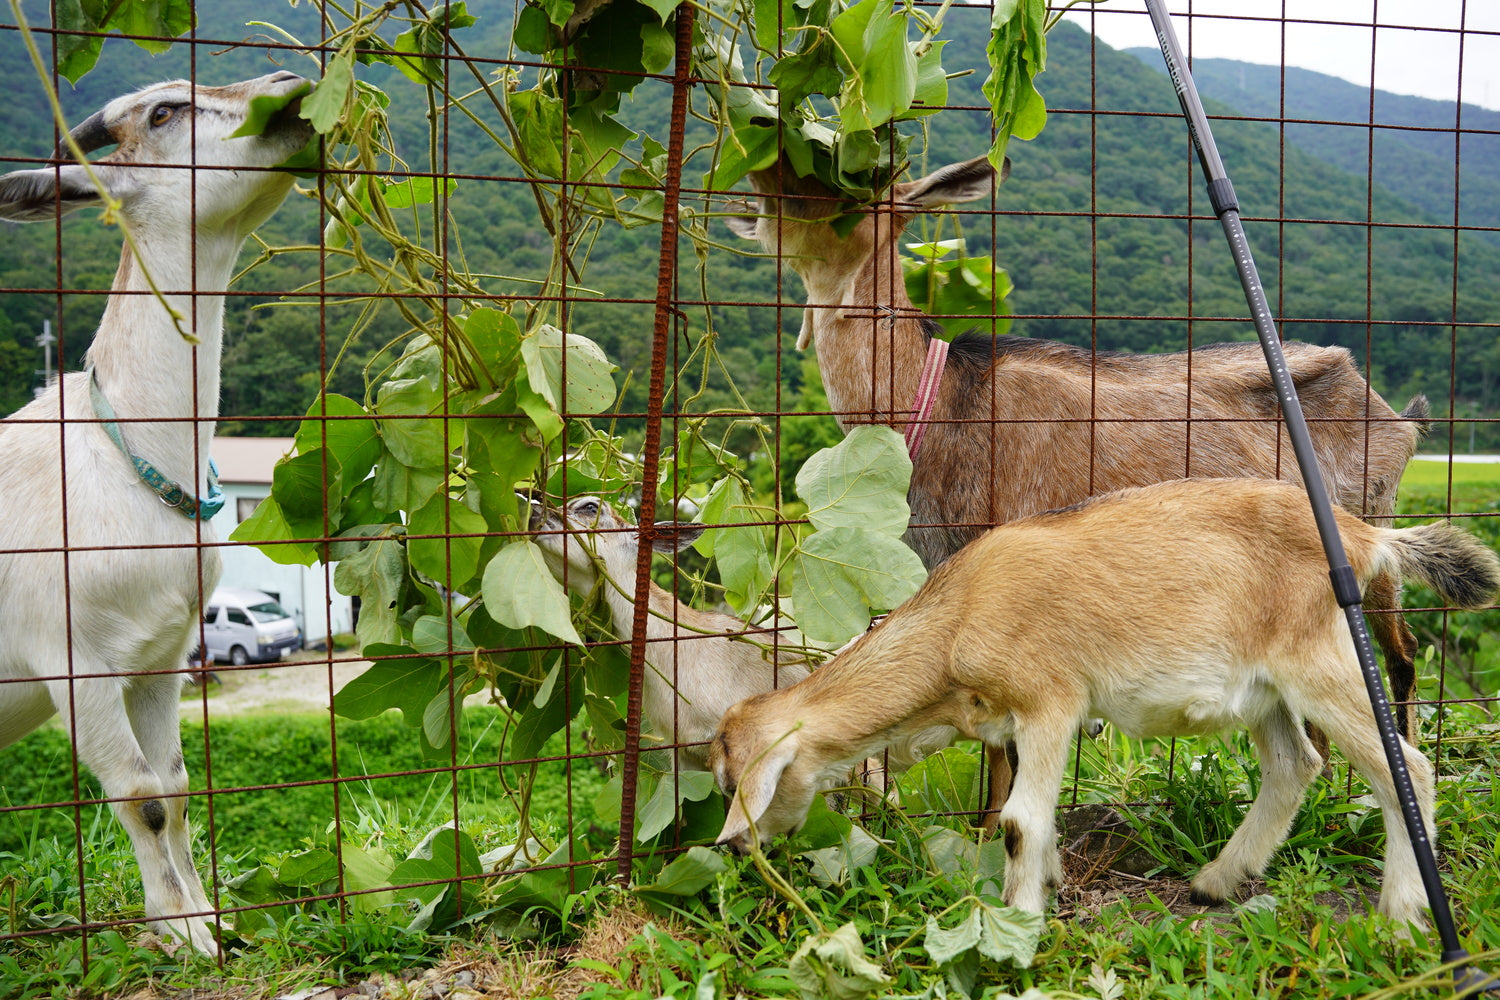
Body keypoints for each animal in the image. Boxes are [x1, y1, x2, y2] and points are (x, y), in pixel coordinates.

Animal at [0, 74, 312, 959]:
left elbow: (173, 786)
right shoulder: (70, 659)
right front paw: (178, 934)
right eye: (165, 113)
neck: (124, 454)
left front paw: (209, 919)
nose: (288, 86)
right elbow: (138, 795)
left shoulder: (162, 657)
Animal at [705, 479, 1500, 929]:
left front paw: (1018, 927)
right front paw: (1050, 886)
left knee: (1407, 769)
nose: (735, 848)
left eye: (734, 779)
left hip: (1323, 664)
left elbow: (1019, 822)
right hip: (1269, 691)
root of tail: (1367, 537)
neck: (958, 617)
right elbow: (1037, 822)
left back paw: (1401, 917)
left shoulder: (1049, 701)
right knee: (1295, 766)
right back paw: (1215, 883)